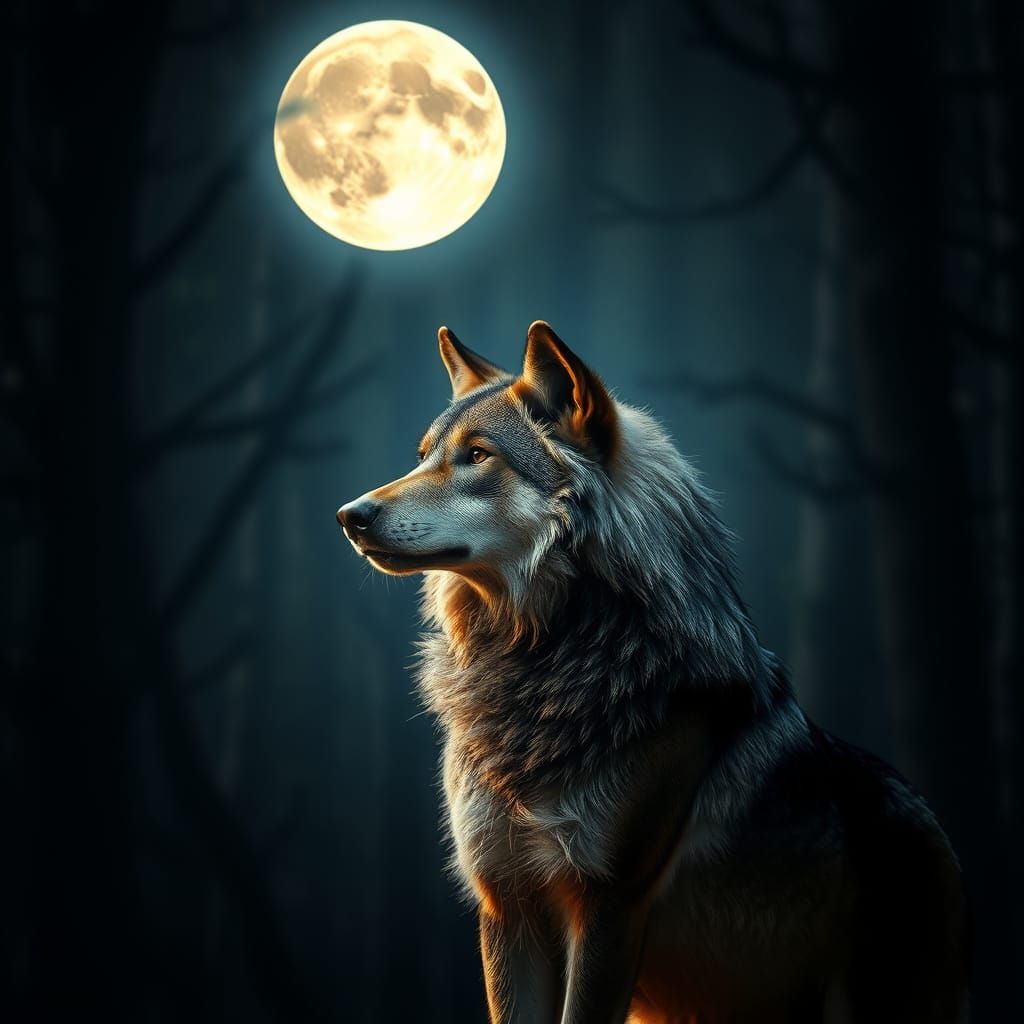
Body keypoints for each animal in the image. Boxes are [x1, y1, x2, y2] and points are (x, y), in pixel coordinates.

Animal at [337, 321, 969, 1023]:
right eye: (424, 456)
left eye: (478, 456)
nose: (350, 515)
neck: (546, 669)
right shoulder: (506, 902)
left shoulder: (608, 906)